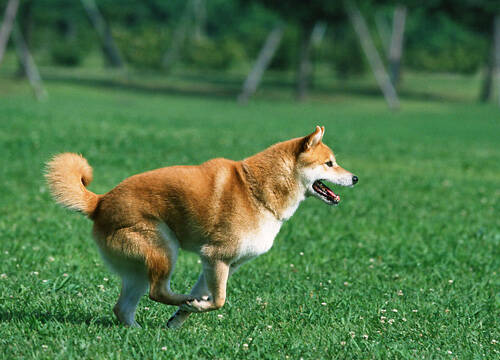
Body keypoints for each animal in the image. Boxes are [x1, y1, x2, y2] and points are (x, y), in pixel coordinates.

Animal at [45, 125, 358, 328]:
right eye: (330, 164)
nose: (355, 178)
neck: (258, 189)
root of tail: (99, 202)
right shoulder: (216, 256)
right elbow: (218, 300)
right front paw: (192, 304)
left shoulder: (221, 264)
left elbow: (205, 295)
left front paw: (183, 314)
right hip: (164, 247)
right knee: (157, 291)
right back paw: (176, 300)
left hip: (138, 268)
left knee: (123, 307)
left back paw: (138, 331)